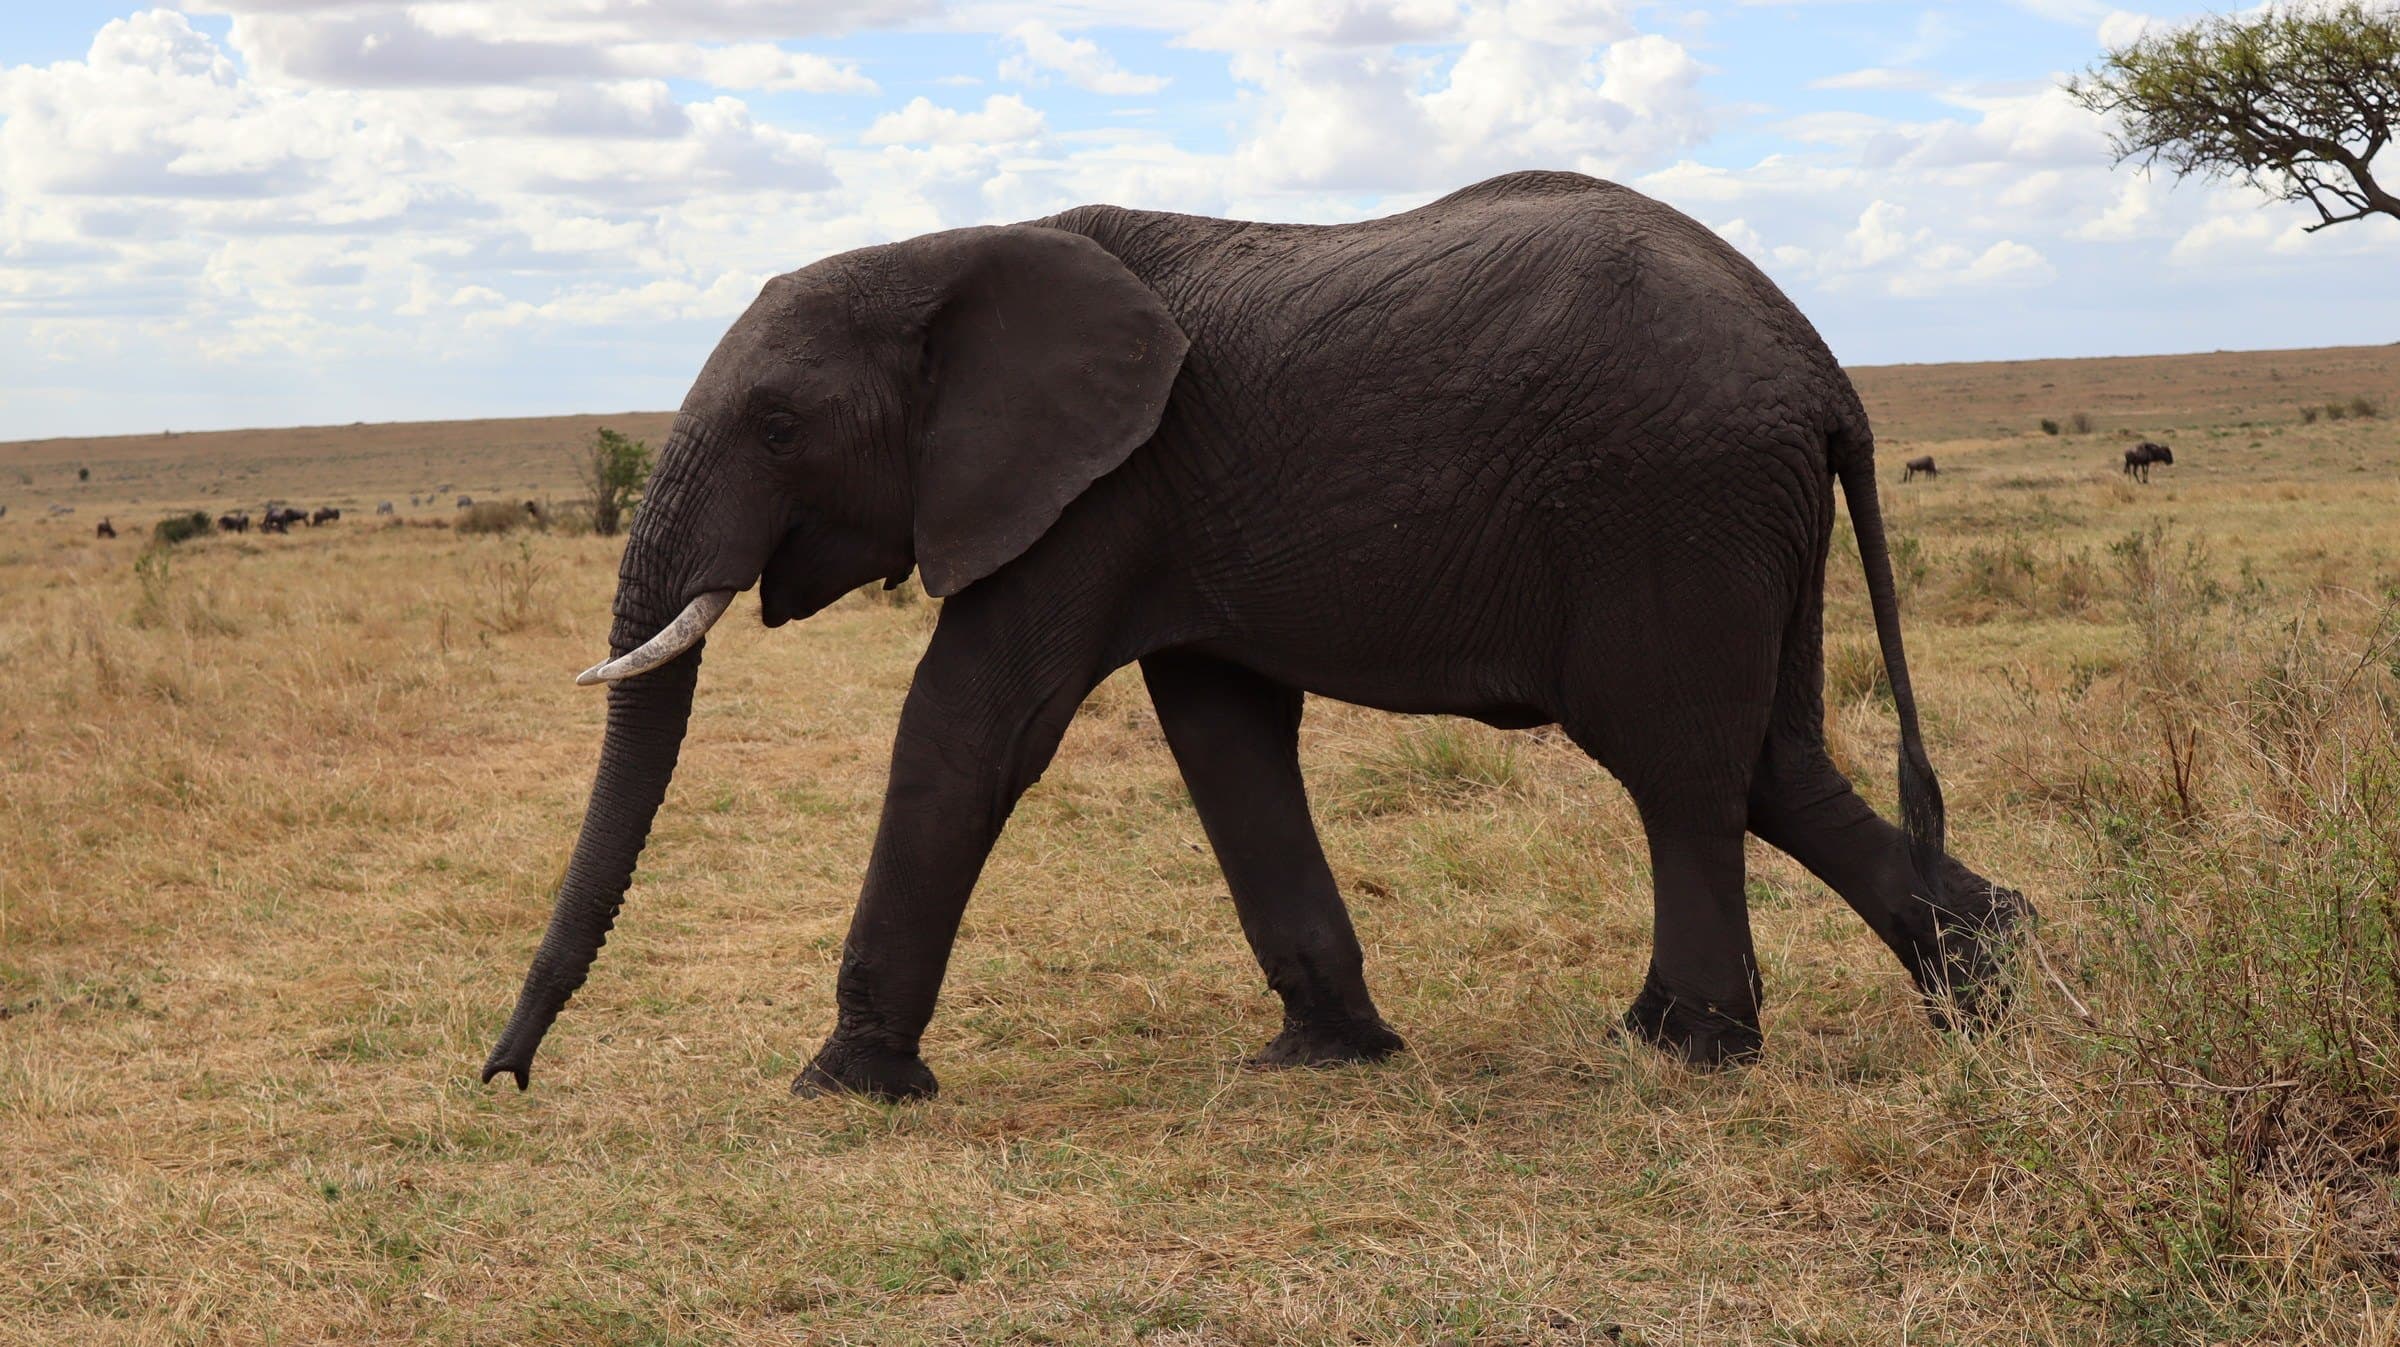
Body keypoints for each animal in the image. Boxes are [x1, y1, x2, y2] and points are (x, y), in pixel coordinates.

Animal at [482, 170, 2027, 1102]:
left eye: (779, 425)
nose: (504, 1076)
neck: (950, 248)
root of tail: (1825, 370)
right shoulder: (1158, 511)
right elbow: (1223, 738)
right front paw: (1330, 1054)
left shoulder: (1099, 490)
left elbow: (973, 726)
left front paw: (842, 1084)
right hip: (1745, 517)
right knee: (1773, 763)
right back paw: (1994, 982)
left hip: (1674, 501)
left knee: (1680, 768)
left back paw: (1684, 1049)